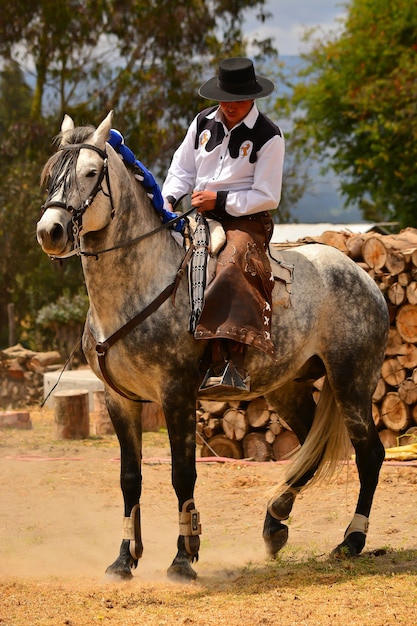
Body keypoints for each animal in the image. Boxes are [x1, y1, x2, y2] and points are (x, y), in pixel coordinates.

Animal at [37, 112, 388, 580]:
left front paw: (183, 558)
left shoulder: (177, 394)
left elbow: (182, 475)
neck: (141, 282)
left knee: (370, 454)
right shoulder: (119, 399)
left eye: (92, 173)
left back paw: (351, 541)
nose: (50, 231)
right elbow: (130, 478)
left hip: (352, 381)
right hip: (287, 387)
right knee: (310, 447)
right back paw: (275, 521)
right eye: (51, 175)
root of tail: (363, 276)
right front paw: (124, 559)